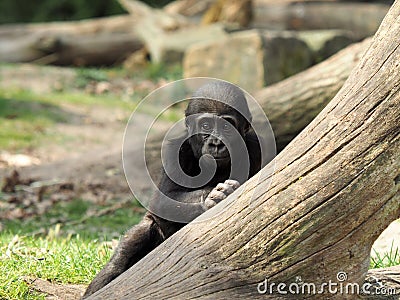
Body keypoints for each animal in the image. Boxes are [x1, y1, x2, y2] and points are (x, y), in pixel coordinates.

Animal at [83, 80, 262, 298]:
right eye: (206, 126)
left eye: (227, 127)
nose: (216, 143)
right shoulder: (176, 150)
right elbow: (163, 201)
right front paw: (213, 196)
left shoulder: (256, 147)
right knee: (136, 239)